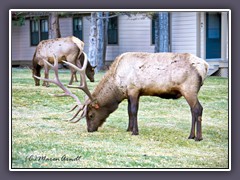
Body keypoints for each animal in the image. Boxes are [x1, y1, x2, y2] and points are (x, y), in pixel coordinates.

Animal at [34, 51, 209, 141]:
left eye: (90, 115)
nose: (90, 130)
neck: (117, 85)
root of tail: (205, 66)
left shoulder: (134, 89)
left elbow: (133, 111)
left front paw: (134, 132)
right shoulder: (130, 93)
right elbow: (128, 112)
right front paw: (128, 128)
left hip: (189, 88)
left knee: (198, 109)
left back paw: (197, 137)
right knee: (194, 111)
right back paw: (191, 135)